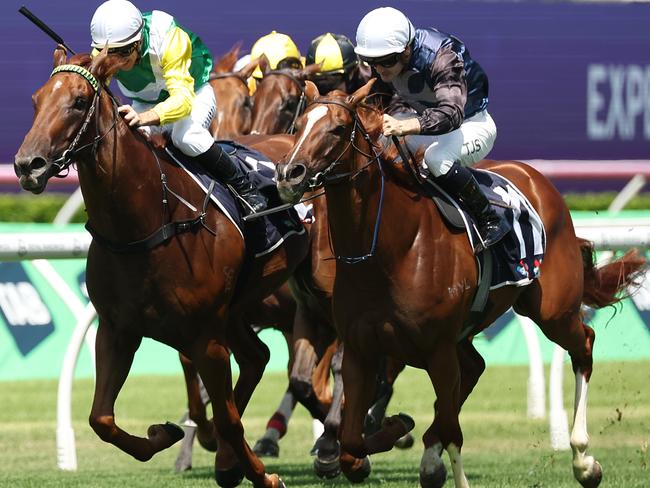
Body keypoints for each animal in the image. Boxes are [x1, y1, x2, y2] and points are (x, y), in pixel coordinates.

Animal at [14, 46, 308, 488]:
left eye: (79, 101)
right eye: (35, 100)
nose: (26, 164)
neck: (148, 222)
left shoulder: (205, 337)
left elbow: (229, 420)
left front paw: (263, 476)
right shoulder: (117, 329)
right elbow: (101, 418)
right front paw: (164, 434)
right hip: (237, 308)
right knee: (257, 356)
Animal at [274, 81, 644, 488]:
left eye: (338, 129)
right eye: (298, 125)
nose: (289, 174)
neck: (389, 250)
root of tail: (539, 181)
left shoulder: (437, 349)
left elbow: (451, 428)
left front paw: (405, 433)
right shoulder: (360, 348)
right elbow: (352, 448)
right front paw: (393, 428)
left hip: (551, 310)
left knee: (584, 345)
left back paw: (583, 459)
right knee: (475, 367)